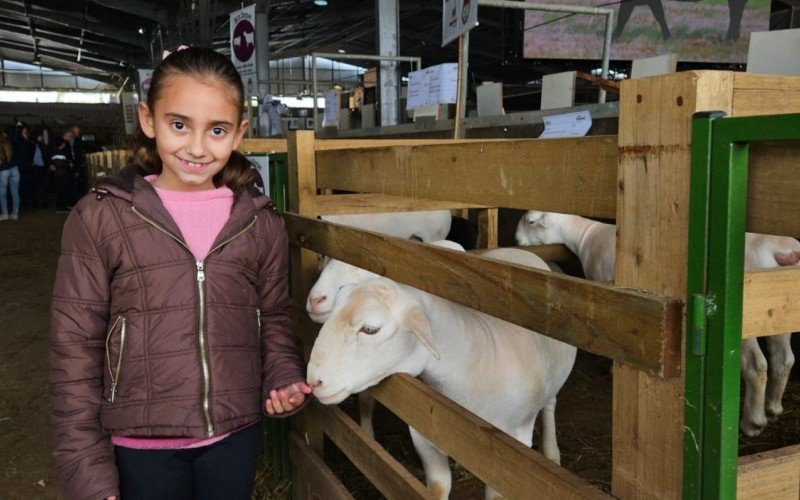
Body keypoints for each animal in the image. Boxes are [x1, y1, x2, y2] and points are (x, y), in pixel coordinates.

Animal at [306, 248, 576, 498]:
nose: (313, 381)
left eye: (371, 329)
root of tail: (520, 250)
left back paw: (552, 453)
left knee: (550, 404)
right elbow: (437, 487)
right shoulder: (425, 435)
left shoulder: (510, 457)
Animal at [516, 211, 796, 438]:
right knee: (783, 358)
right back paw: (773, 407)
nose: (516, 241)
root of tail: (784, 251)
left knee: (757, 365)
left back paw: (753, 422)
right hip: (777, 311)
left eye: (530, 221)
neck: (585, 235)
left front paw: (612, 368)